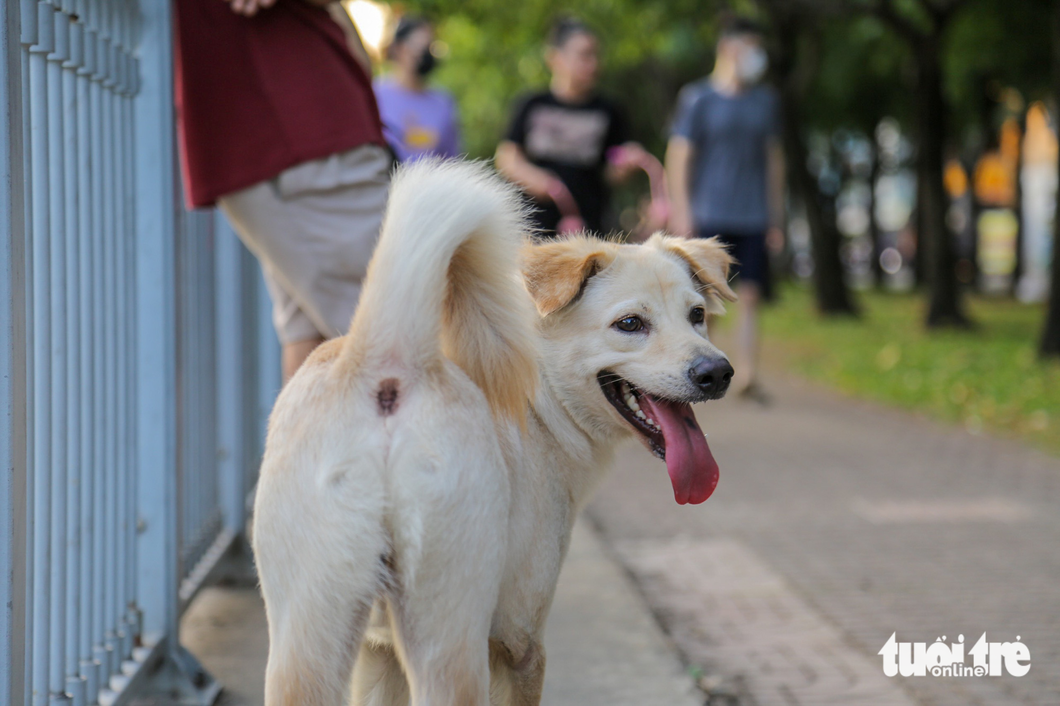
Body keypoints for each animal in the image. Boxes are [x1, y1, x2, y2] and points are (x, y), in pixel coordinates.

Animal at [254, 159, 737, 703]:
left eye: (697, 315)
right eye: (630, 324)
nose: (717, 373)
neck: (541, 396)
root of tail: (388, 359)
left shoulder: (378, 654)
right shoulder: (520, 646)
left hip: (304, 646)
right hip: (450, 647)